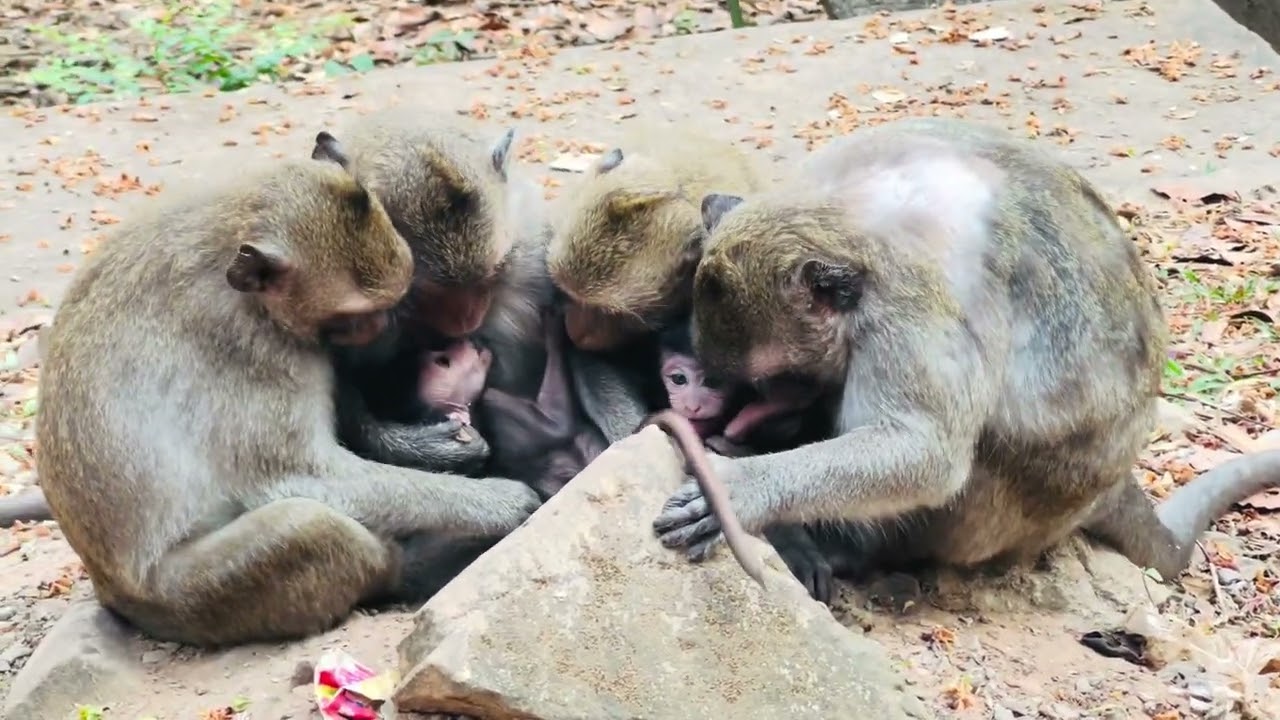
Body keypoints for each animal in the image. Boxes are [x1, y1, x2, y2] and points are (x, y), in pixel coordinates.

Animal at [34, 160, 543, 648]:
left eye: (390, 305)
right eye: (355, 316)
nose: (381, 328)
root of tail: (110, 591)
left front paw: (429, 446)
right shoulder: (254, 348)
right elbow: (297, 474)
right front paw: (496, 502)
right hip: (186, 598)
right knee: (305, 525)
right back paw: (409, 567)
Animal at [650, 116, 1280, 590]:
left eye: (782, 381)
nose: (760, 410)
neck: (848, 205)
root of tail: (1110, 484)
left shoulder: (909, 302)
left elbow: (926, 452)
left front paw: (740, 489)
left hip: (1017, 511)